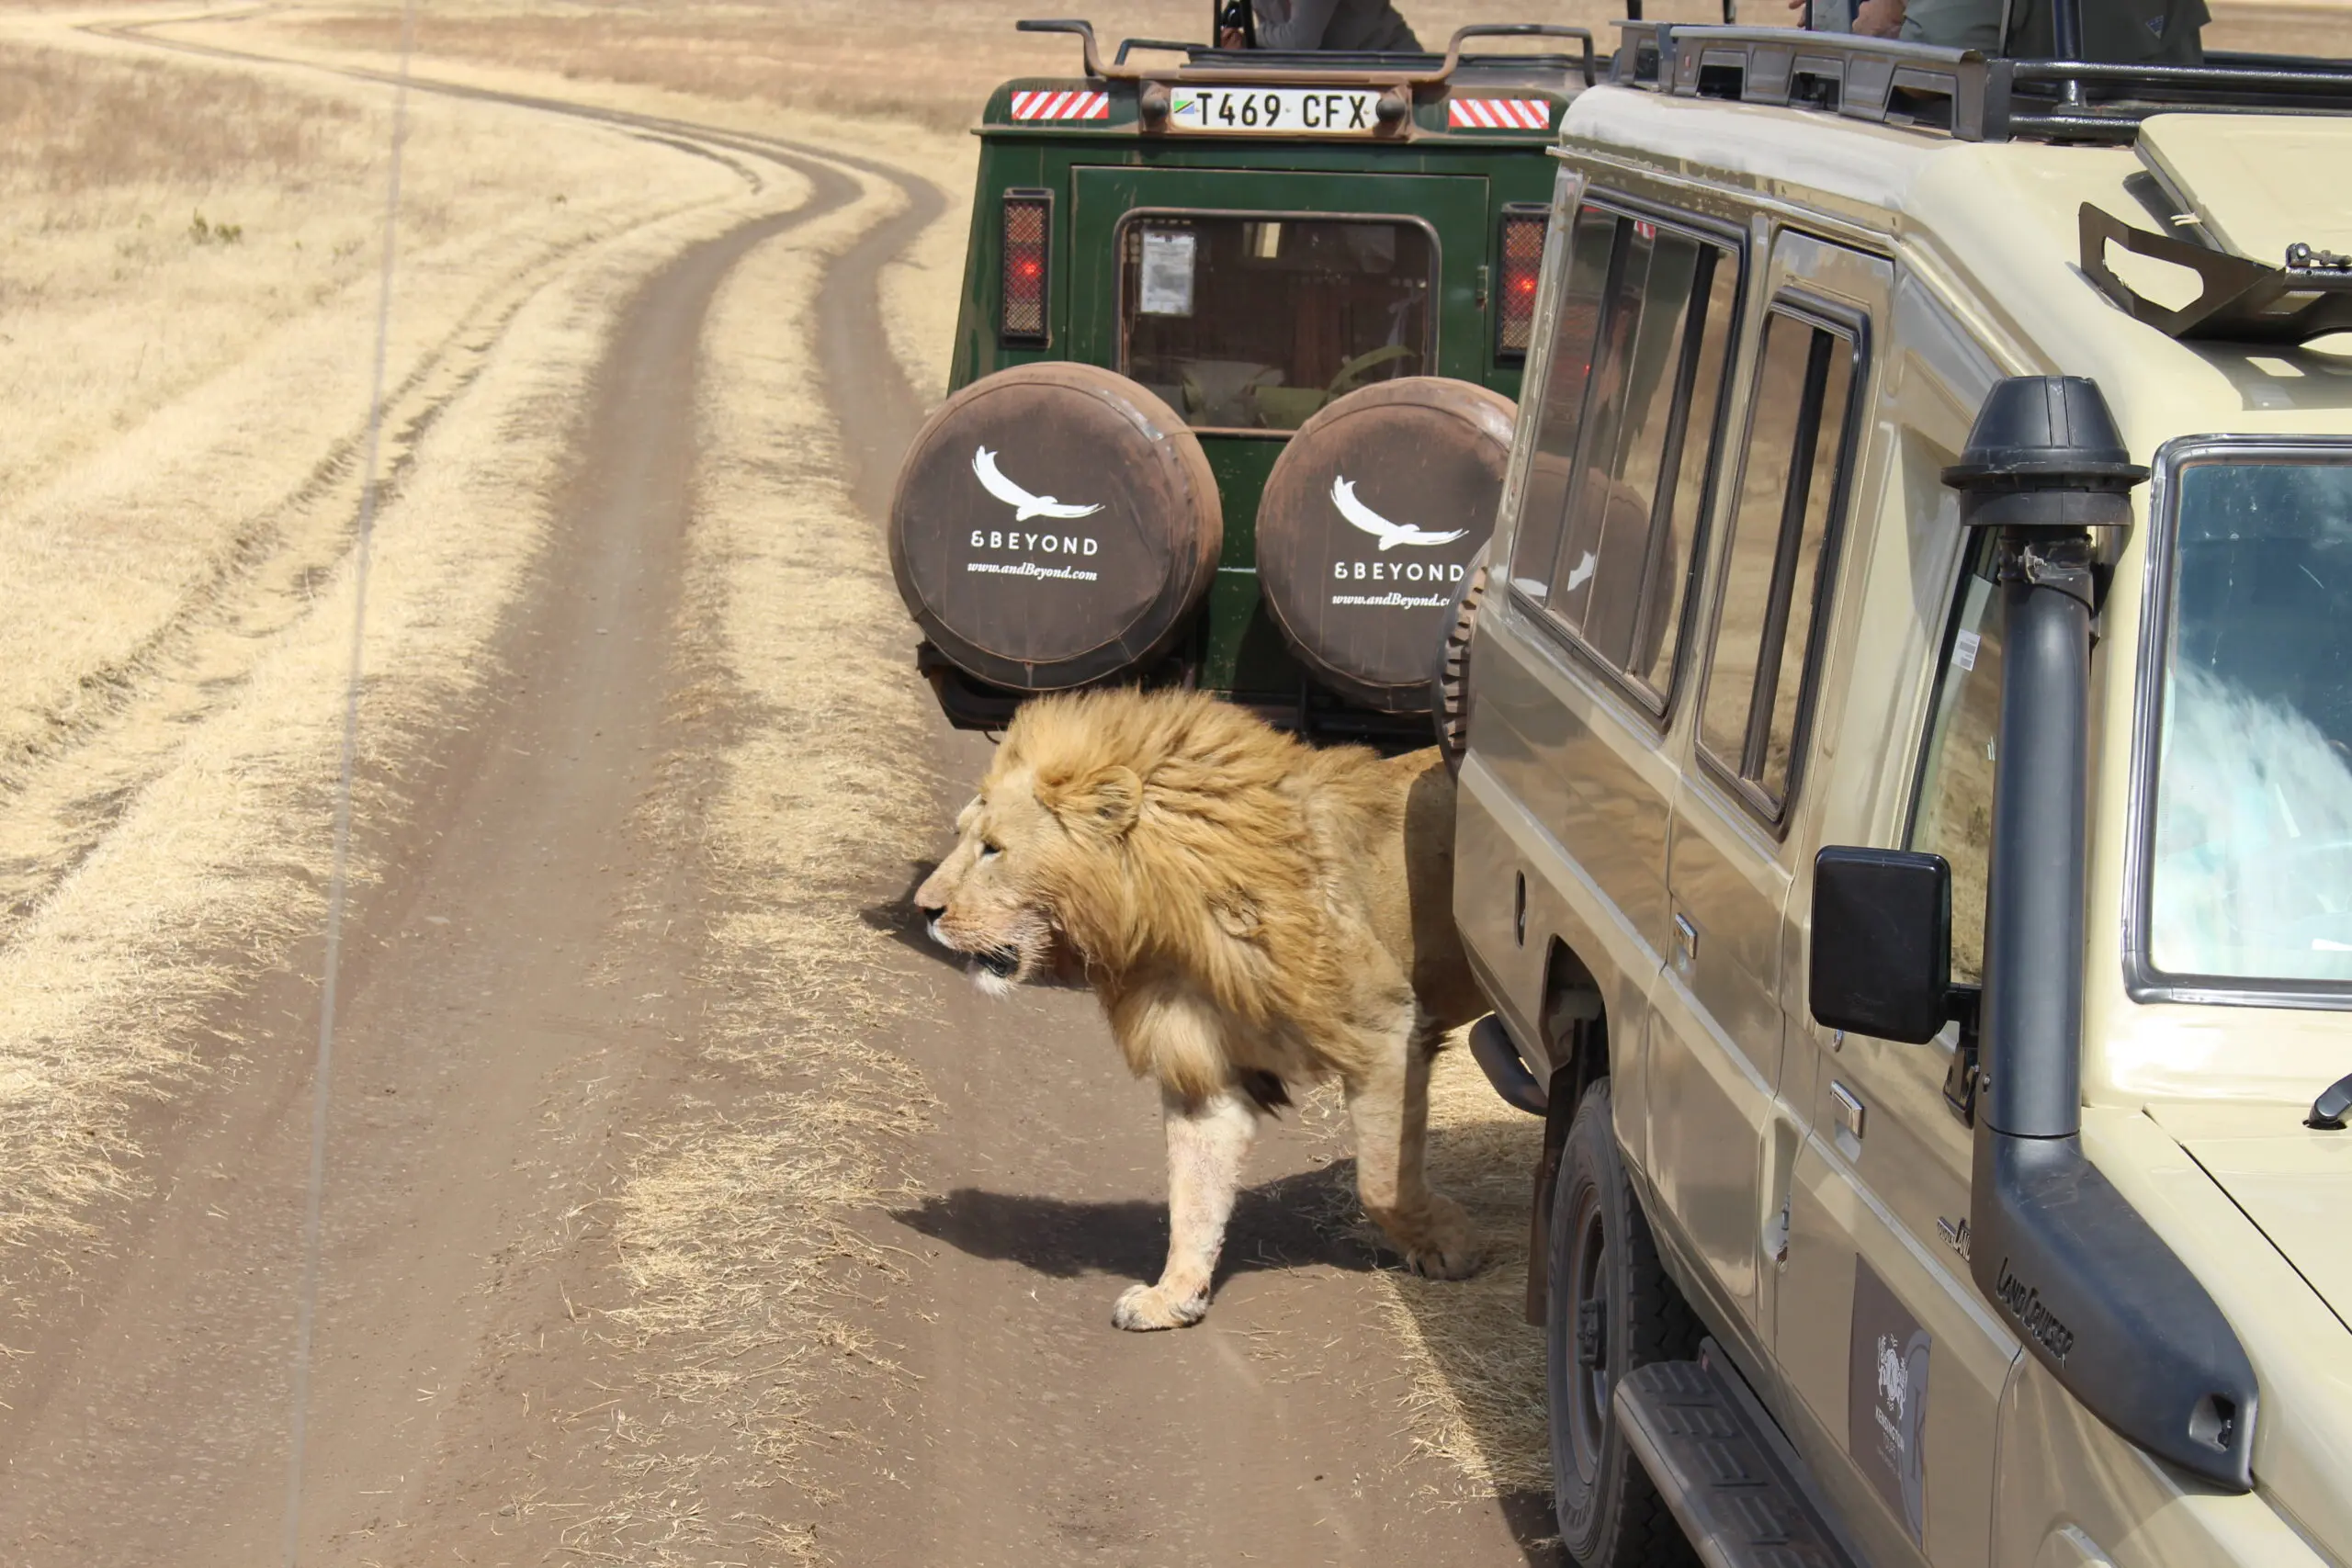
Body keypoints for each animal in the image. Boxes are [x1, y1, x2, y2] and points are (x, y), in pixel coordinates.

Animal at [913, 687, 1487, 1331]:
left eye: (993, 849)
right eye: (964, 836)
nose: (923, 909)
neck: (1166, 923)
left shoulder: (1386, 1032)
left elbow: (1381, 1182)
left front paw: (1451, 1243)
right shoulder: (1201, 1067)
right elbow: (1194, 1193)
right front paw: (1173, 1296)